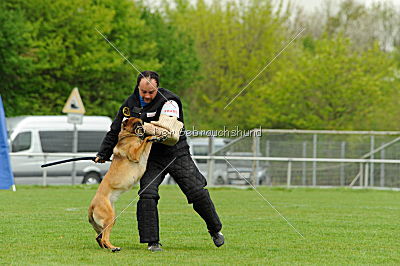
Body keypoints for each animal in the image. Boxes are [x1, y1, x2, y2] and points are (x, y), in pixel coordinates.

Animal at [88, 118, 162, 251]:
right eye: (136, 123)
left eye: (141, 122)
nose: (142, 124)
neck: (128, 136)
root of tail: (91, 205)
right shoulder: (135, 154)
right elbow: (144, 142)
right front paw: (150, 137)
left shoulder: (143, 154)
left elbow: (147, 145)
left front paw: (155, 137)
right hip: (109, 218)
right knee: (104, 238)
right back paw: (113, 248)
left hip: (111, 219)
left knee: (99, 237)